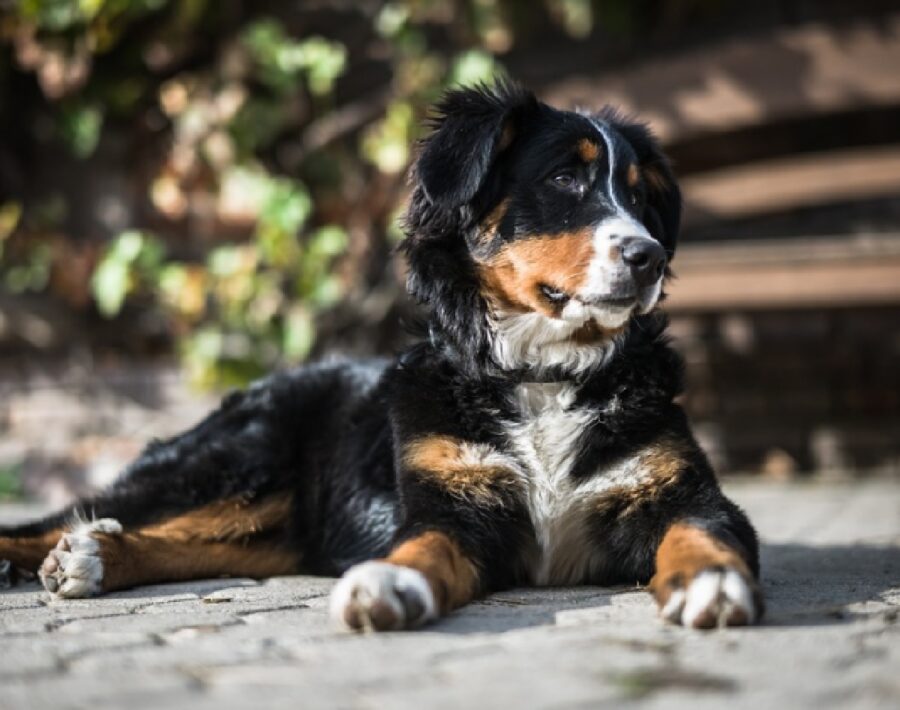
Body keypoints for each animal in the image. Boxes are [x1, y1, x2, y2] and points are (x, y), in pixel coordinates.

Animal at [0, 83, 760, 636]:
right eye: (566, 178)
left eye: (639, 193)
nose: (648, 256)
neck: (542, 375)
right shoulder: (452, 505)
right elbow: (420, 547)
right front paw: (388, 583)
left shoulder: (682, 492)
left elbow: (701, 532)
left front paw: (710, 582)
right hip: (232, 462)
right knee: (64, 520)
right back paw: (58, 555)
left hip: (267, 519)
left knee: (189, 542)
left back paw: (96, 556)